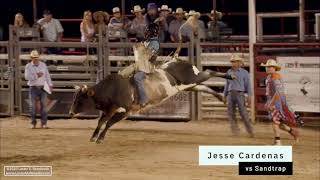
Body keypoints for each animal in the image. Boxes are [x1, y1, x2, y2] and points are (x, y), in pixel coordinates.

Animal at [69, 43, 235, 143]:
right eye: (74, 98)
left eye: (80, 100)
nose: (70, 113)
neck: (112, 89)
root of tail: (177, 60)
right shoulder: (109, 110)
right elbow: (101, 121)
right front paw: (93, 136)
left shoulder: (126, 111)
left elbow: (109, 122)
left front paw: (100, 138)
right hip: (190, 85)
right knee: (205, 87)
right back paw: (222, 98)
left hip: (193, 78)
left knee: (210, 72)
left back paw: (230, 77)